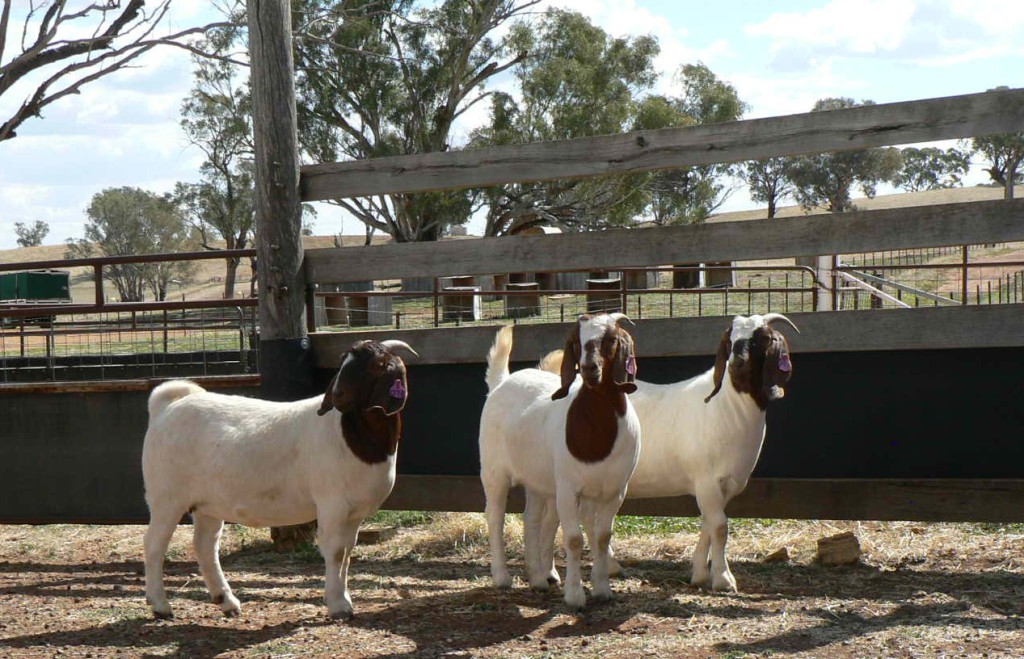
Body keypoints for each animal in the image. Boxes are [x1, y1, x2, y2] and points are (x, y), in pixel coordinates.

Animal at [141, 339, 416, 620]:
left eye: (378, 365)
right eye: (343, 363)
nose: (338, 395)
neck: (354, 435)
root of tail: (165, 407)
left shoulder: (355, 512)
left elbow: (348, 553)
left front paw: (344, 599)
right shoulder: (332, 504)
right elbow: (336, 552)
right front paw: (338, 605)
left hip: (208, 504)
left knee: (205, 546)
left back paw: (226, 600)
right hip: (166, 496)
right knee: (154, 544)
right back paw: (161, 605)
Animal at [479, 313, 641, 611]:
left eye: (611, 339)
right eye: (576, 342)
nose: (589, 369)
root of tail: (502, 382)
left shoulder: (615, 491)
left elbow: (602, 537)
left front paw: (602, 589)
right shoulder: (568, 488)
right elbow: (575, 539)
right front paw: (575, 596)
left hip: (538, 480)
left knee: (533, 519)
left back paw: (539, 577)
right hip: (494, 471)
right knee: (495, 515)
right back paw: (502, 576)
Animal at [534, 313, 798, 592]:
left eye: (763, 338)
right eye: (731, 340)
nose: (737, 364)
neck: (726, 406)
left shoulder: (723, 486)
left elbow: (709, 524)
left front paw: (700, 574)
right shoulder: (707, 481)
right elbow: (720, 527)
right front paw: (724, 579)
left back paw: (595, 568)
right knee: (553, 519)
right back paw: (551, 573)